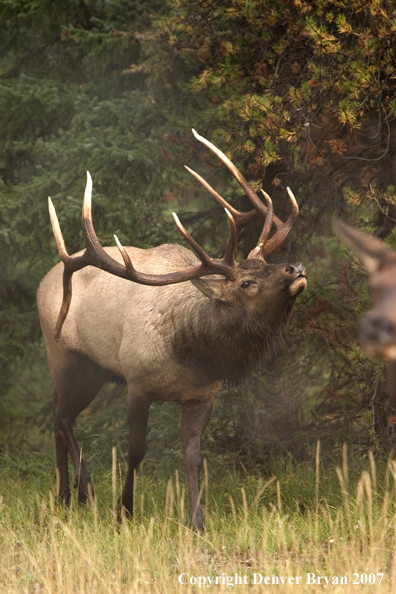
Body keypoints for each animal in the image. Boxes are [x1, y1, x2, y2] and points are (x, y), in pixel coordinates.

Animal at [37, 128, 308, 528]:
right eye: (246, 282)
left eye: (266, 264)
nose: (296, 268)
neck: (192, 354)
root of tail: (45, 280)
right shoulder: (137, 383)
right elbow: (136, 450)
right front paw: (124, 512)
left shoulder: (202, 396)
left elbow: (193, 456)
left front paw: (197, 521)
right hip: (65, 356)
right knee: (62, 415)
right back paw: (83, 490)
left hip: (96, 372)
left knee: (58, 412)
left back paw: (64, 495)